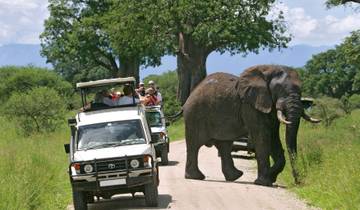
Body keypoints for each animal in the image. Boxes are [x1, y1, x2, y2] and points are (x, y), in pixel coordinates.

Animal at [184, 64, 320, 185]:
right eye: (279, 89)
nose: (298, 182)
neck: (269, 70)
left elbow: (273, 137)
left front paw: (271, 177)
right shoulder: (250, 106)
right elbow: (262, 136)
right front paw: (264, 182)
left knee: (224, 145)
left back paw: (235, 176)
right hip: (194, 116)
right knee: (194, 145)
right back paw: (196, 177)